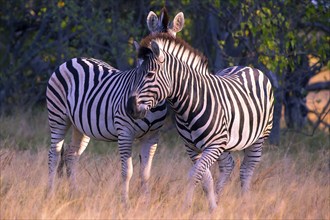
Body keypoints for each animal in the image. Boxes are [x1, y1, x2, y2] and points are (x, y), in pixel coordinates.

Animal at [46, 9, 186, 206]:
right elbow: (127, 171)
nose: (133, 108)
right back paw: (50, 195)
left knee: (70, 156)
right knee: (54, 154)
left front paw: (146, 204)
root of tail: (73, 59)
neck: (151, 105)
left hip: (80, 126)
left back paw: (74, 195)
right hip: (58, 116)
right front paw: (125, 204)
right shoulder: (125, 132)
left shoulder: (152, 137)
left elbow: (146, 173)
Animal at [125, 33, 274, 211]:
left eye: (150, 74)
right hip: (225, 143)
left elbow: (195, 174)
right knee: (228, 165)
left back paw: (245, 204)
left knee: (246, 169)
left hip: (258, 138)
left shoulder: (214, 145)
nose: (130, 108)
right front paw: (212, 207)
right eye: (135, 74)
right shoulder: (192, 147)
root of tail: (248, 67)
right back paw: (218, 198)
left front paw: (185, 207)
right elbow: (205, 178)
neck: (189, 107)